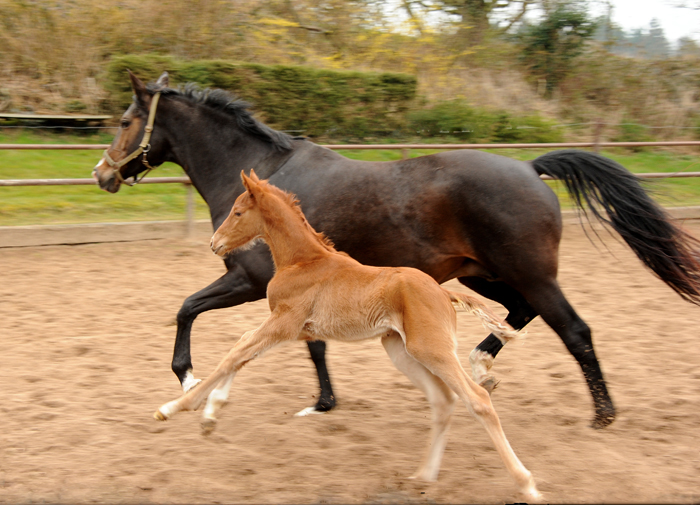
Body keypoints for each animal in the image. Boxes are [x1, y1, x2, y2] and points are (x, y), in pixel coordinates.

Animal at [93, 70, 700, 426]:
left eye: (125, 121)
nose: (102, 174)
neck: (264, 175)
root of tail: (530, 168)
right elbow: (314, 346)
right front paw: (322, 402)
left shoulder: (248, 281)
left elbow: (186, 308)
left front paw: (188, 378)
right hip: (481, 273)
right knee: (518, 314)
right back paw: (481, 366)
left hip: (530, 274)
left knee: (574, 330)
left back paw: (602, 413)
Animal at [156, 168, 540, 496]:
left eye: (237, 212)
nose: (214, 243)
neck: (303, 261)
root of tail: (444, 293)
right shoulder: (293, 329)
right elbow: (242, 349)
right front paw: (210, 414)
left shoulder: (285, 323)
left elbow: (236, 352)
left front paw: (176, 406)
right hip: (401, 350)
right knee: (444, 401)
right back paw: (423, 476)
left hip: (432, 348)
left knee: (478, 399)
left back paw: (526, 484)